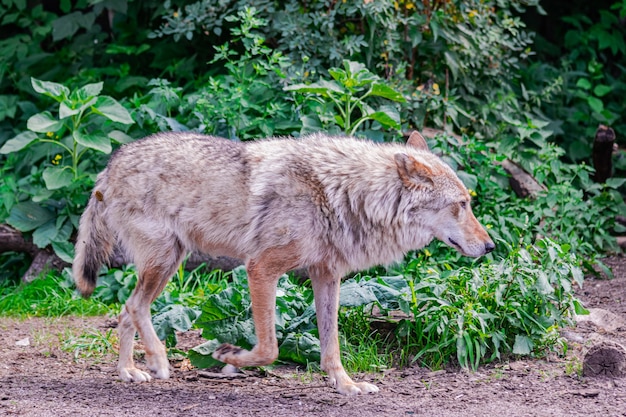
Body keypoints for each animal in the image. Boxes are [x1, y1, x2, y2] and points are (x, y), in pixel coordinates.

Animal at [73, 130, 492, 394]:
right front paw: (230, 357)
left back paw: (129, 371)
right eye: (461, 205)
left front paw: (346, 386)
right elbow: (270, 348)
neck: (343, 194)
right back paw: (158, 362)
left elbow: (331, 346)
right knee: (134, 307)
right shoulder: (261, 269)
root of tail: (110, 164)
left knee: (125, 310)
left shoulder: (326, 277)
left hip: (166, 265)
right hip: (165, 262)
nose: (490, 246)